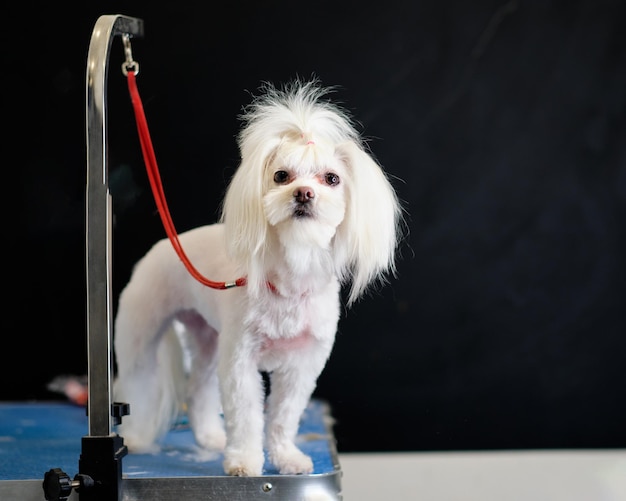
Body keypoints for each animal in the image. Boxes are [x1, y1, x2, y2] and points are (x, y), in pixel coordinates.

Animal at [112, 79, 402, 476]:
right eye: (281, 176)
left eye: (332, 179)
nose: (303, 193)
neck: (293, 273)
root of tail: (163, 247)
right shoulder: (240, 360)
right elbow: (247, 416)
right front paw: (244, 461)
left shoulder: (303, 365)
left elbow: (283, 416)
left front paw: (286, 457)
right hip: (143, 336)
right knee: (139, 387)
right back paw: (138, 437)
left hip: (208, 340)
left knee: (199, 390)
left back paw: (210, 438)